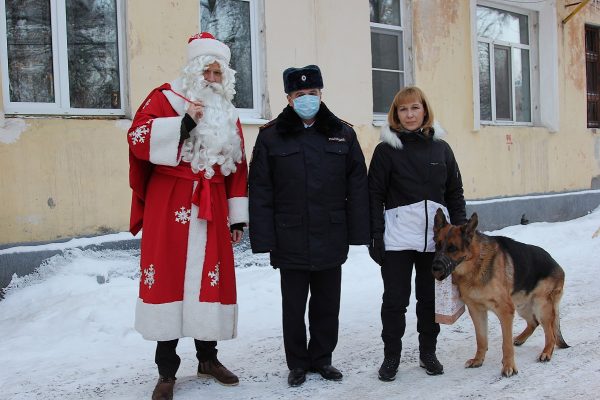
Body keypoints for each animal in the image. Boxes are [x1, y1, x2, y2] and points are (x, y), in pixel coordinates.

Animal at [432, 209, 568, 378]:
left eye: (452, 248)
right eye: (437, 245)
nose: (434, 268)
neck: (476, 264)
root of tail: (557, 264)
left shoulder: (505, 311)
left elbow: (506, 344)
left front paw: (509, 366)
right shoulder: (477, 311)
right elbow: (481, 339)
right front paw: (478, 360)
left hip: (540, 306)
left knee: (550, 333)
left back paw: (546, 352)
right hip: (522, 306)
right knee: (534, 322)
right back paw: (521, 339)